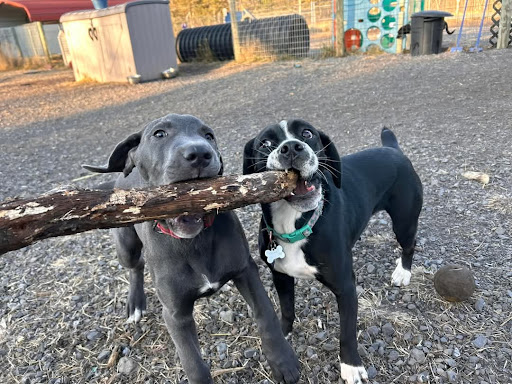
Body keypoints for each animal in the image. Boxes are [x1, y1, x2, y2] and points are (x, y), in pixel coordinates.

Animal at [83, 114, 300, 384]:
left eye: (209, 136)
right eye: (159, 134)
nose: (200, 154)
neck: (193, 241)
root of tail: (122, 175)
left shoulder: (246, 271)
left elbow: (266, 314)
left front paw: (283, 361)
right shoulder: (175, 315)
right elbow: (193, 364)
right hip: (126, 245)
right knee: (135, 265)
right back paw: (135, 304)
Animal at [242, 118, 422, 382]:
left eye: (307, 133)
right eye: (265, 143)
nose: (291, 148)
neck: (296, 224)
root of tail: (393, 149)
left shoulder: (346, 287)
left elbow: (347, 333)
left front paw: (351, 366)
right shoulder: (280, 276)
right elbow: (286, 309)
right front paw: (283, 336)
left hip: (404, 221)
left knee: (409, 244)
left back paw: (403, 272)